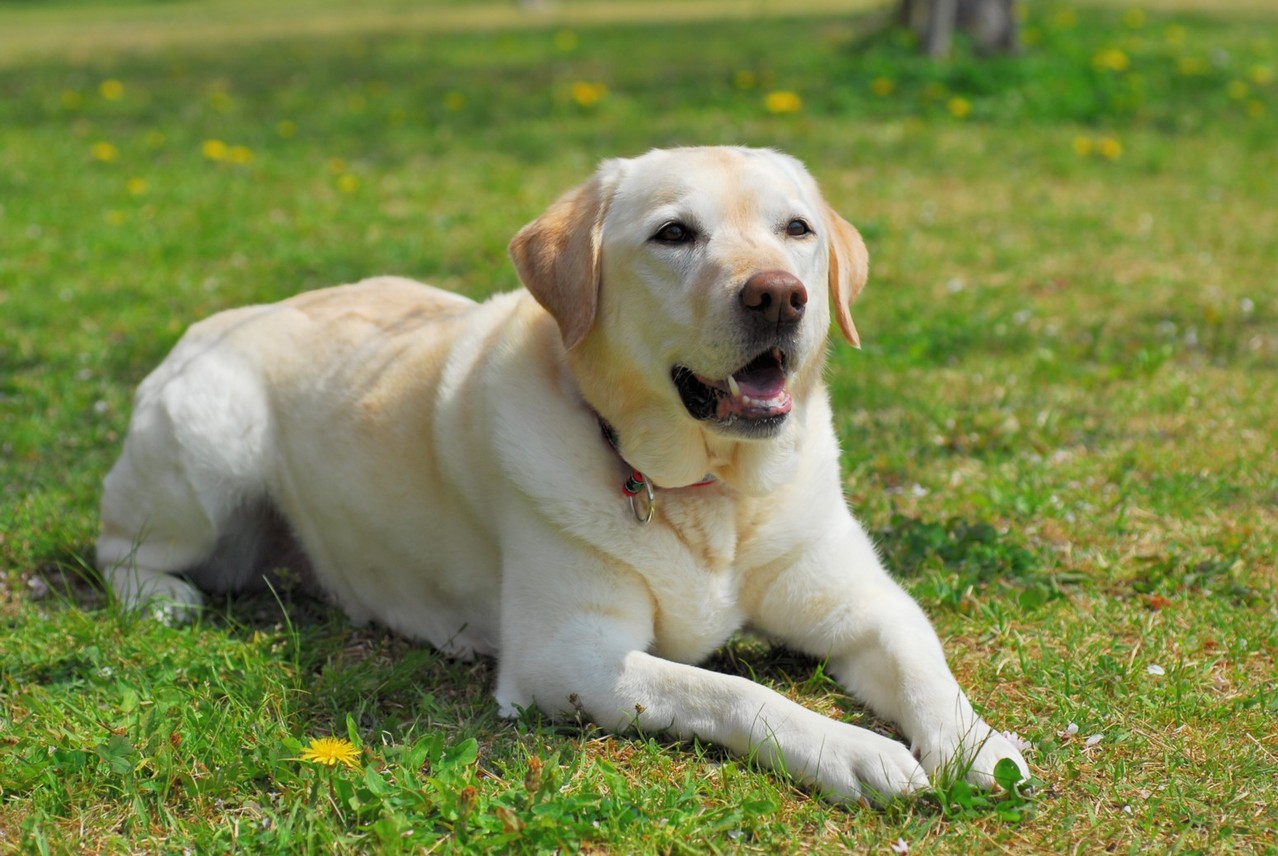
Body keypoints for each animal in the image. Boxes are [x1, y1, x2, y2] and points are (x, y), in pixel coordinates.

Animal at [102, 145, 1037, 807]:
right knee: (118, 549)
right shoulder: (568, 656)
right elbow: (730, 689)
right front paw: (857, 751)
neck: (708, 491)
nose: (777, 295)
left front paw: (980, 746)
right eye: (674, 233)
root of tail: (221, 320)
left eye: (797, 230)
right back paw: (162, 596)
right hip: (211, 454)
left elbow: (925, 668)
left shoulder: (862, 604)